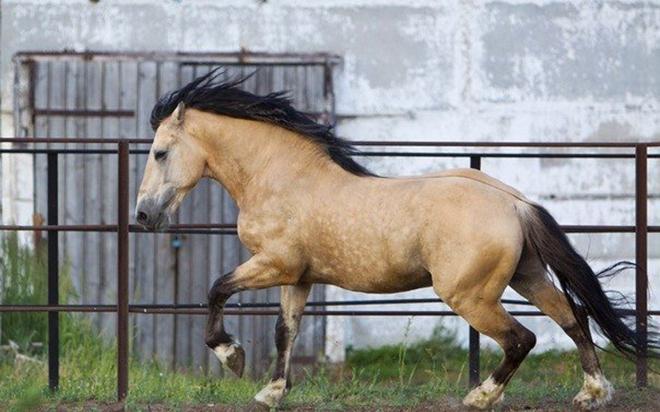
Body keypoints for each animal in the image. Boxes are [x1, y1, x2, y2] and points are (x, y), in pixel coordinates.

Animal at [134, 69, 656, 410]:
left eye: (159, 153)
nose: (142, 215)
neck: (281, 177)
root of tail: (513, 202)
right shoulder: (298, 277)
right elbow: (287, 331)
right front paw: (271, 391)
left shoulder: (273, 264)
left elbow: (217, 288)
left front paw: (233, 357)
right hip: (525, 276)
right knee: (573, 318)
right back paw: (593, 392)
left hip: (469, 295)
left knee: (520, 338)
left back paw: (480, 395)